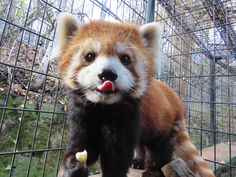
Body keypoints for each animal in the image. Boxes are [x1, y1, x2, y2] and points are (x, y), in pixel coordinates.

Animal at [52, 12, 215, 177]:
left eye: (125, 59)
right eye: (90, 56)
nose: (107, 74)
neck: (104, 107)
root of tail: (176, 100)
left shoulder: (128, 114)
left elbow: (118, 153)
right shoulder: (83, 112)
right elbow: (84, 144)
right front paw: (72, 166)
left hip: (165, 123)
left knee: (160, 148)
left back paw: (153, 170)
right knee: (142, 144)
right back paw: (138, 161)